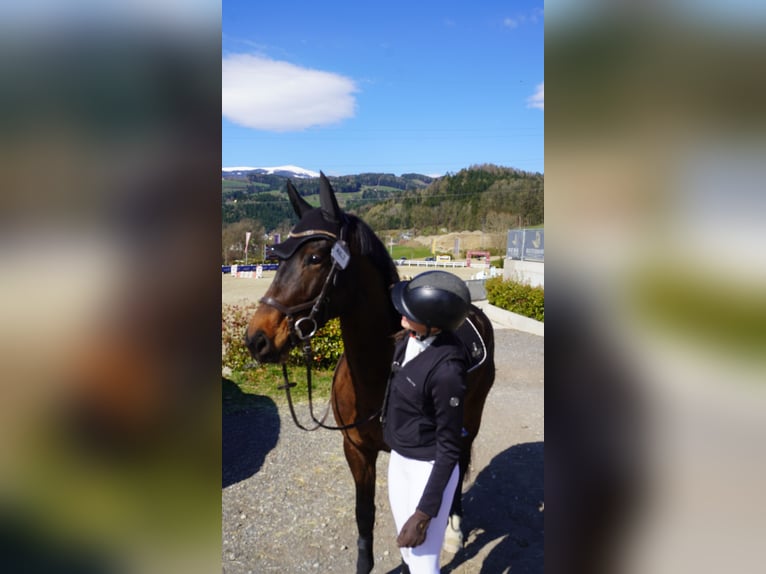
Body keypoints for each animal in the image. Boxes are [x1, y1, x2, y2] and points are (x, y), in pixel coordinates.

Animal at [245, 173, 495, 574]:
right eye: (276, 261)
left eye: (314, 258)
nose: (257, 339)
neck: (378, 373)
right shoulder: (357, 450)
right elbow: (365, 514)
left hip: (470, 418)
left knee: (457, 467)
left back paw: (455, 529)